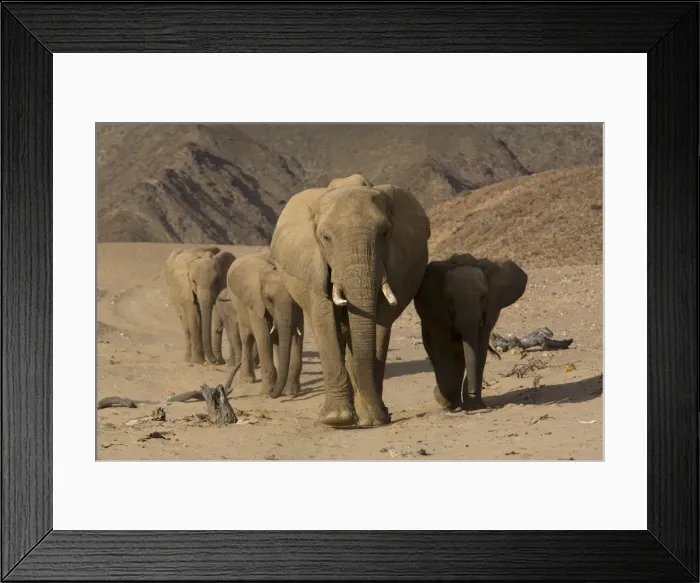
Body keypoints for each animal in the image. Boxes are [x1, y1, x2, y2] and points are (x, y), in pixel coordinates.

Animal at [226, 247, 304, 397]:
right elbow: (263, 336)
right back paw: (247, 379)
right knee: (247, 339)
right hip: (238, 304)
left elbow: (298, 336)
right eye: (269, 299)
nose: (275, 393)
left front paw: (291, 392)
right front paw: (268, 393)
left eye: (294, 300)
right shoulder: (256, 300)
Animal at [270, 173, 431, 427]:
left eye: (384, 233)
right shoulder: (313, 266)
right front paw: (338, 419)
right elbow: (325, 321)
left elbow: (380, 325)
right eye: (325, 237)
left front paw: (372, 419)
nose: (382, 414)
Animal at [413, 253, 528, 411]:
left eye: (483, 297)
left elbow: (480, 346)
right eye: (450, 300)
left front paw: (474, 405)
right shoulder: (436, 310)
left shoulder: (491, 307)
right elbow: (442, 348)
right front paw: (447, 401)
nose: (472, 393)